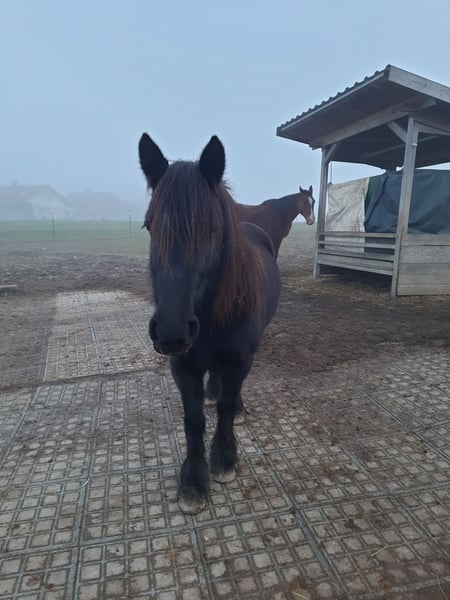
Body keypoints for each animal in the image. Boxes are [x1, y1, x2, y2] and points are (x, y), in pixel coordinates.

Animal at [139, 133, 280, 514]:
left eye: (212, 229)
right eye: (148, 225)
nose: (171, 331)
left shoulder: (240, 359)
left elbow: (226, 409)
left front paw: (225, 459)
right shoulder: (183, 366)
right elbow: (194, 420)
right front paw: (193, 481)